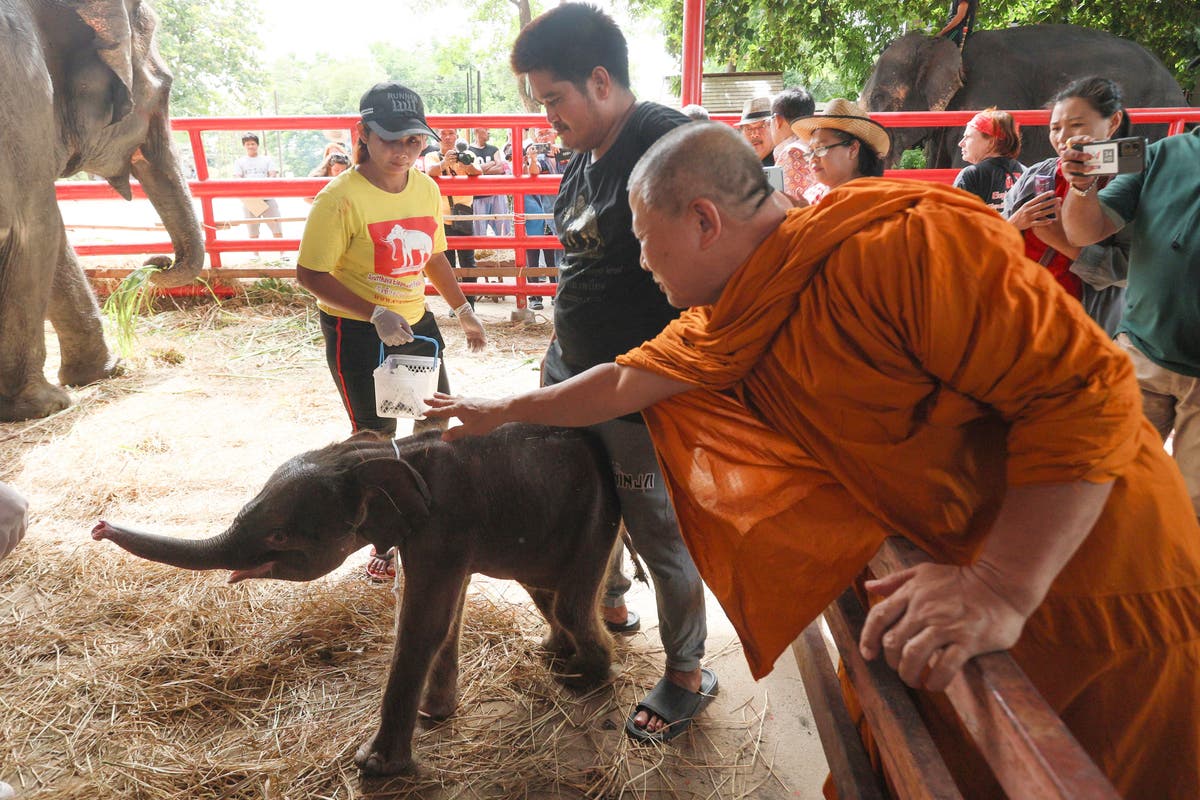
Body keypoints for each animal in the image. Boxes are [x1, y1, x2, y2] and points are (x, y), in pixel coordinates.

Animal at [0, 0, 204, 422]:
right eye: (166, 89)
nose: (157, 262)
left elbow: (57, 240)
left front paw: (106, 372)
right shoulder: (24, 97)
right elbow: (38, 229)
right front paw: (46, 405)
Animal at [88, 424, 624, 777]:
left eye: (280, 536)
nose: (98, 527)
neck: (375, 455)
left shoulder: (444, 525)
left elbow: (423, 623)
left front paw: (375, 767)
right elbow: (445, 615)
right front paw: (434, 714)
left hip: (596, 519)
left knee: (570, 601)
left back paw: (584, 677)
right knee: (546, 593)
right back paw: (555, 656)